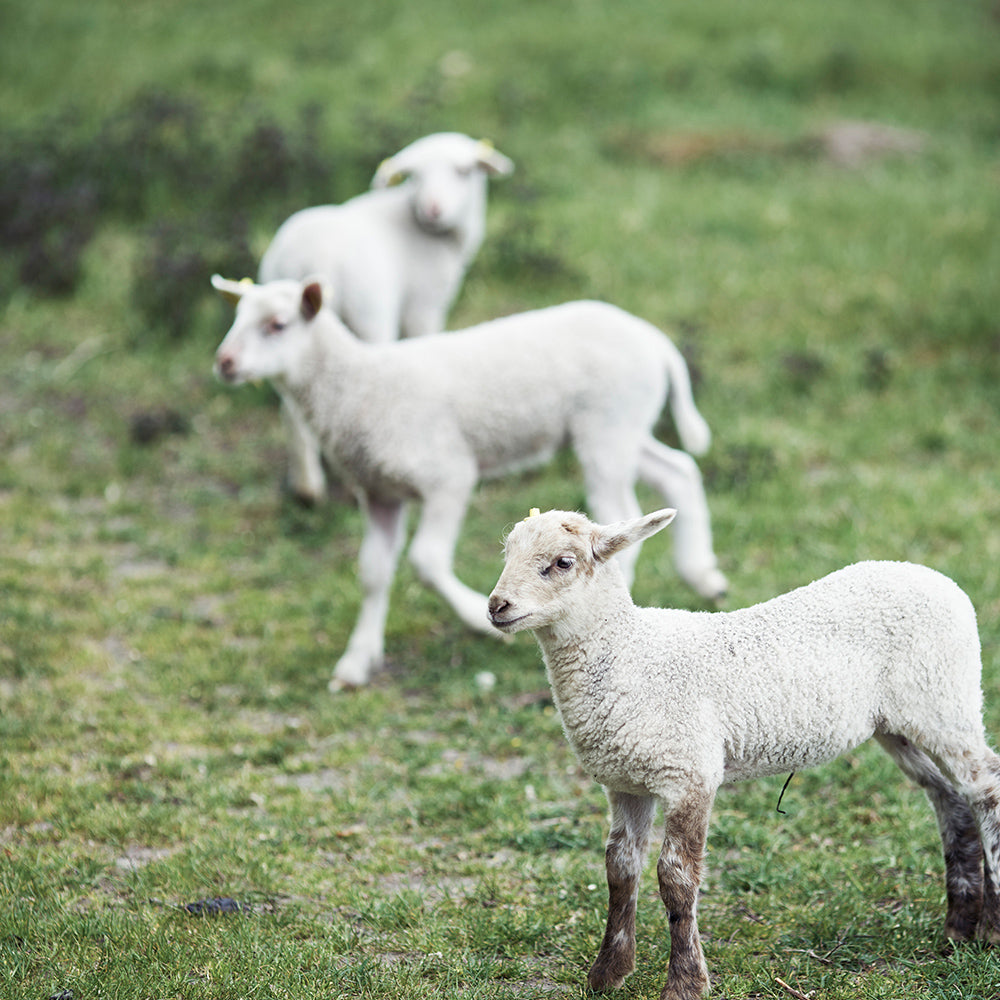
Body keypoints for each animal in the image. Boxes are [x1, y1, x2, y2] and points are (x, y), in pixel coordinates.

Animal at [211, 278, 728, 692]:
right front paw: (356, 661)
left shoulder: (447, 476)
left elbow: (424, 560)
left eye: (277, 325)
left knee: (619, 509)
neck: (358, 385)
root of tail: (654, 339)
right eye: (236, 317)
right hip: (621, 426)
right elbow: (372, 572)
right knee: (679, 470)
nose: (225, 362)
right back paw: (703, 573)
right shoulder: (378, 492)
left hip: (608, 423)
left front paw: (474, 619)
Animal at [254, 132, 520, 504]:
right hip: (370, 315)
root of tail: (313, 259)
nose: (433, 209)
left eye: (463, 171)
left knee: (292, 407)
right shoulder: (424, 305)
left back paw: (308, 488)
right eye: (416, 177)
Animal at [488, 508, 1000, 1000]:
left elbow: (676, 878)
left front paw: (685, 983)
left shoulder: (690, 774)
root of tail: (939, 580)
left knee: (985, 788)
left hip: (945, 700)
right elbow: (620, 868)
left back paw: (990, 928)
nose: (496, 606)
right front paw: (607, 974)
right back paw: (958, 925)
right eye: (506, 552)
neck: (628, 653)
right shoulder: (625, 783)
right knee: (950, 798)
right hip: (898, 725)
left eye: (563, 562)